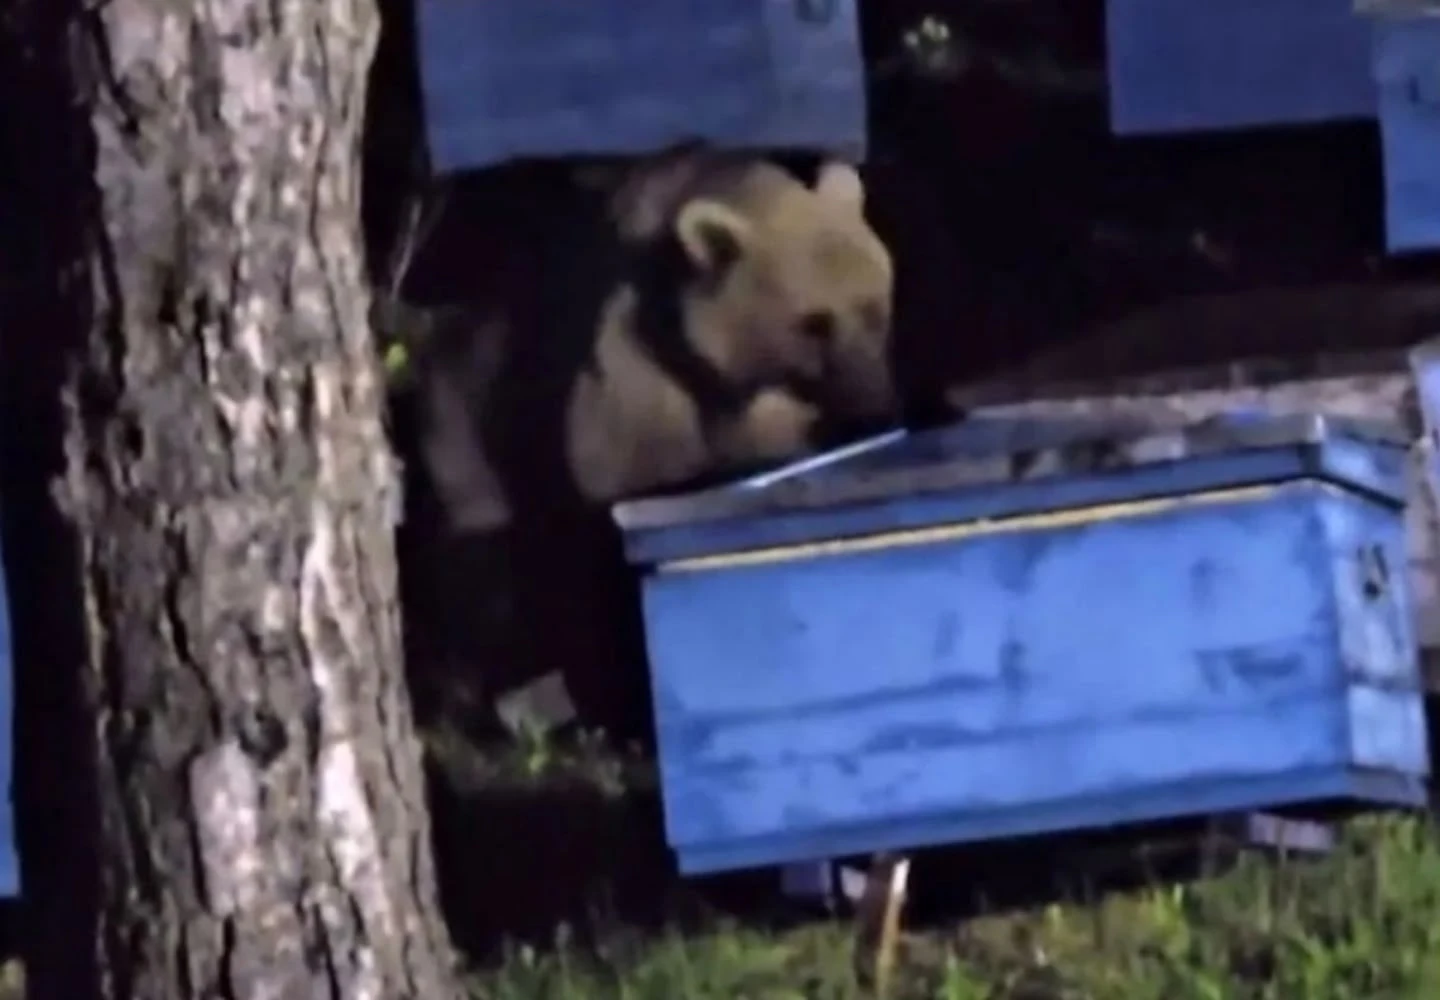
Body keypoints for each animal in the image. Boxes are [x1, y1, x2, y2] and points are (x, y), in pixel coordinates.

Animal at [380, 145, 899, 745]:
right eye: (814, 322)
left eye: (874, 306)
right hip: (466, 400)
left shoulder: (754, 401)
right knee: (480, 548)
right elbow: (613, 499)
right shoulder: (624, 373)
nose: (874, 401)